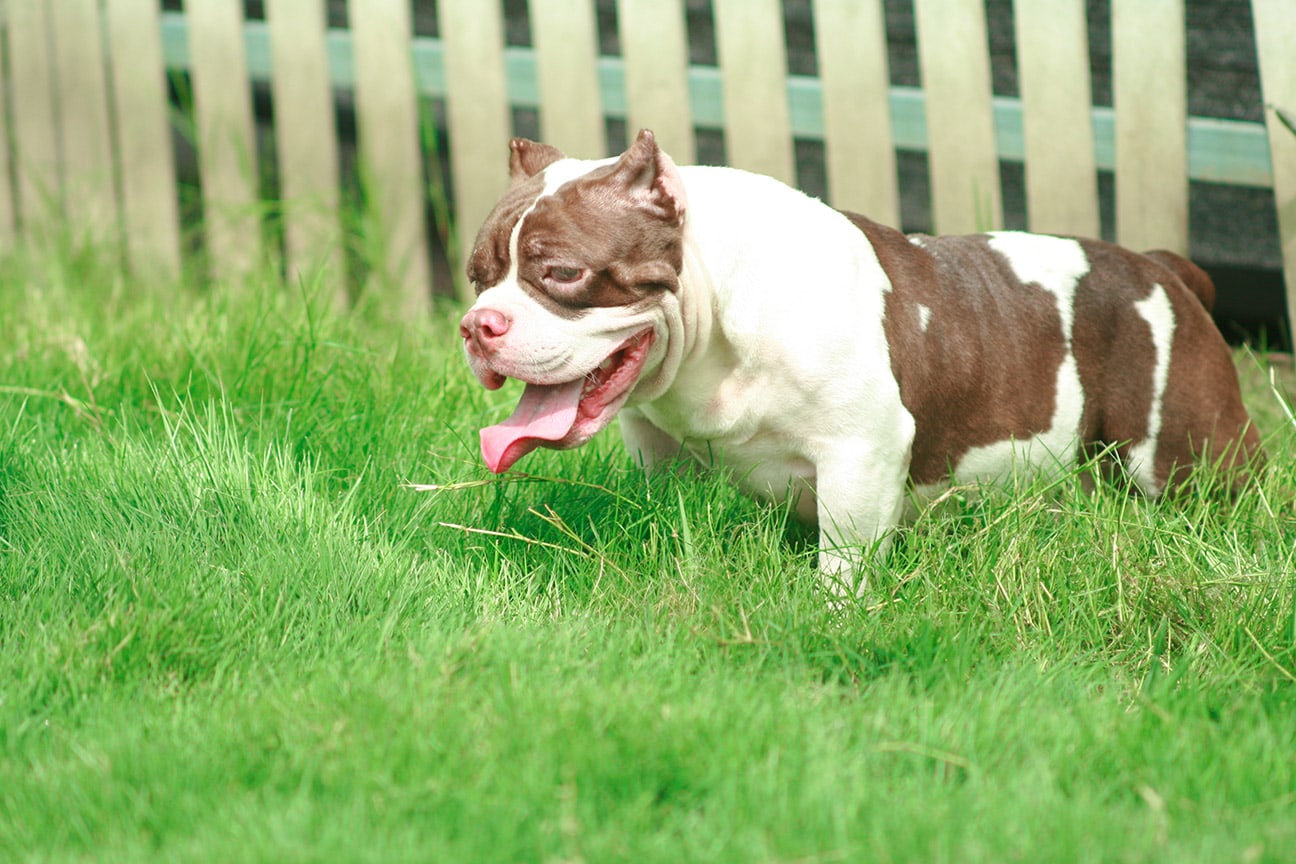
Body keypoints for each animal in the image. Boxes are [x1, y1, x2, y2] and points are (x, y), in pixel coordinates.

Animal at [461, 128, 1259, 595]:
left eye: (561, 273)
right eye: (476, 276)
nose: (477, 325)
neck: (716, 318)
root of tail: (1163, 267)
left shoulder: (859, 449)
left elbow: (843, 553)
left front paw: (832, 611)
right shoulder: (661, 449)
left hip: (1180, 453)